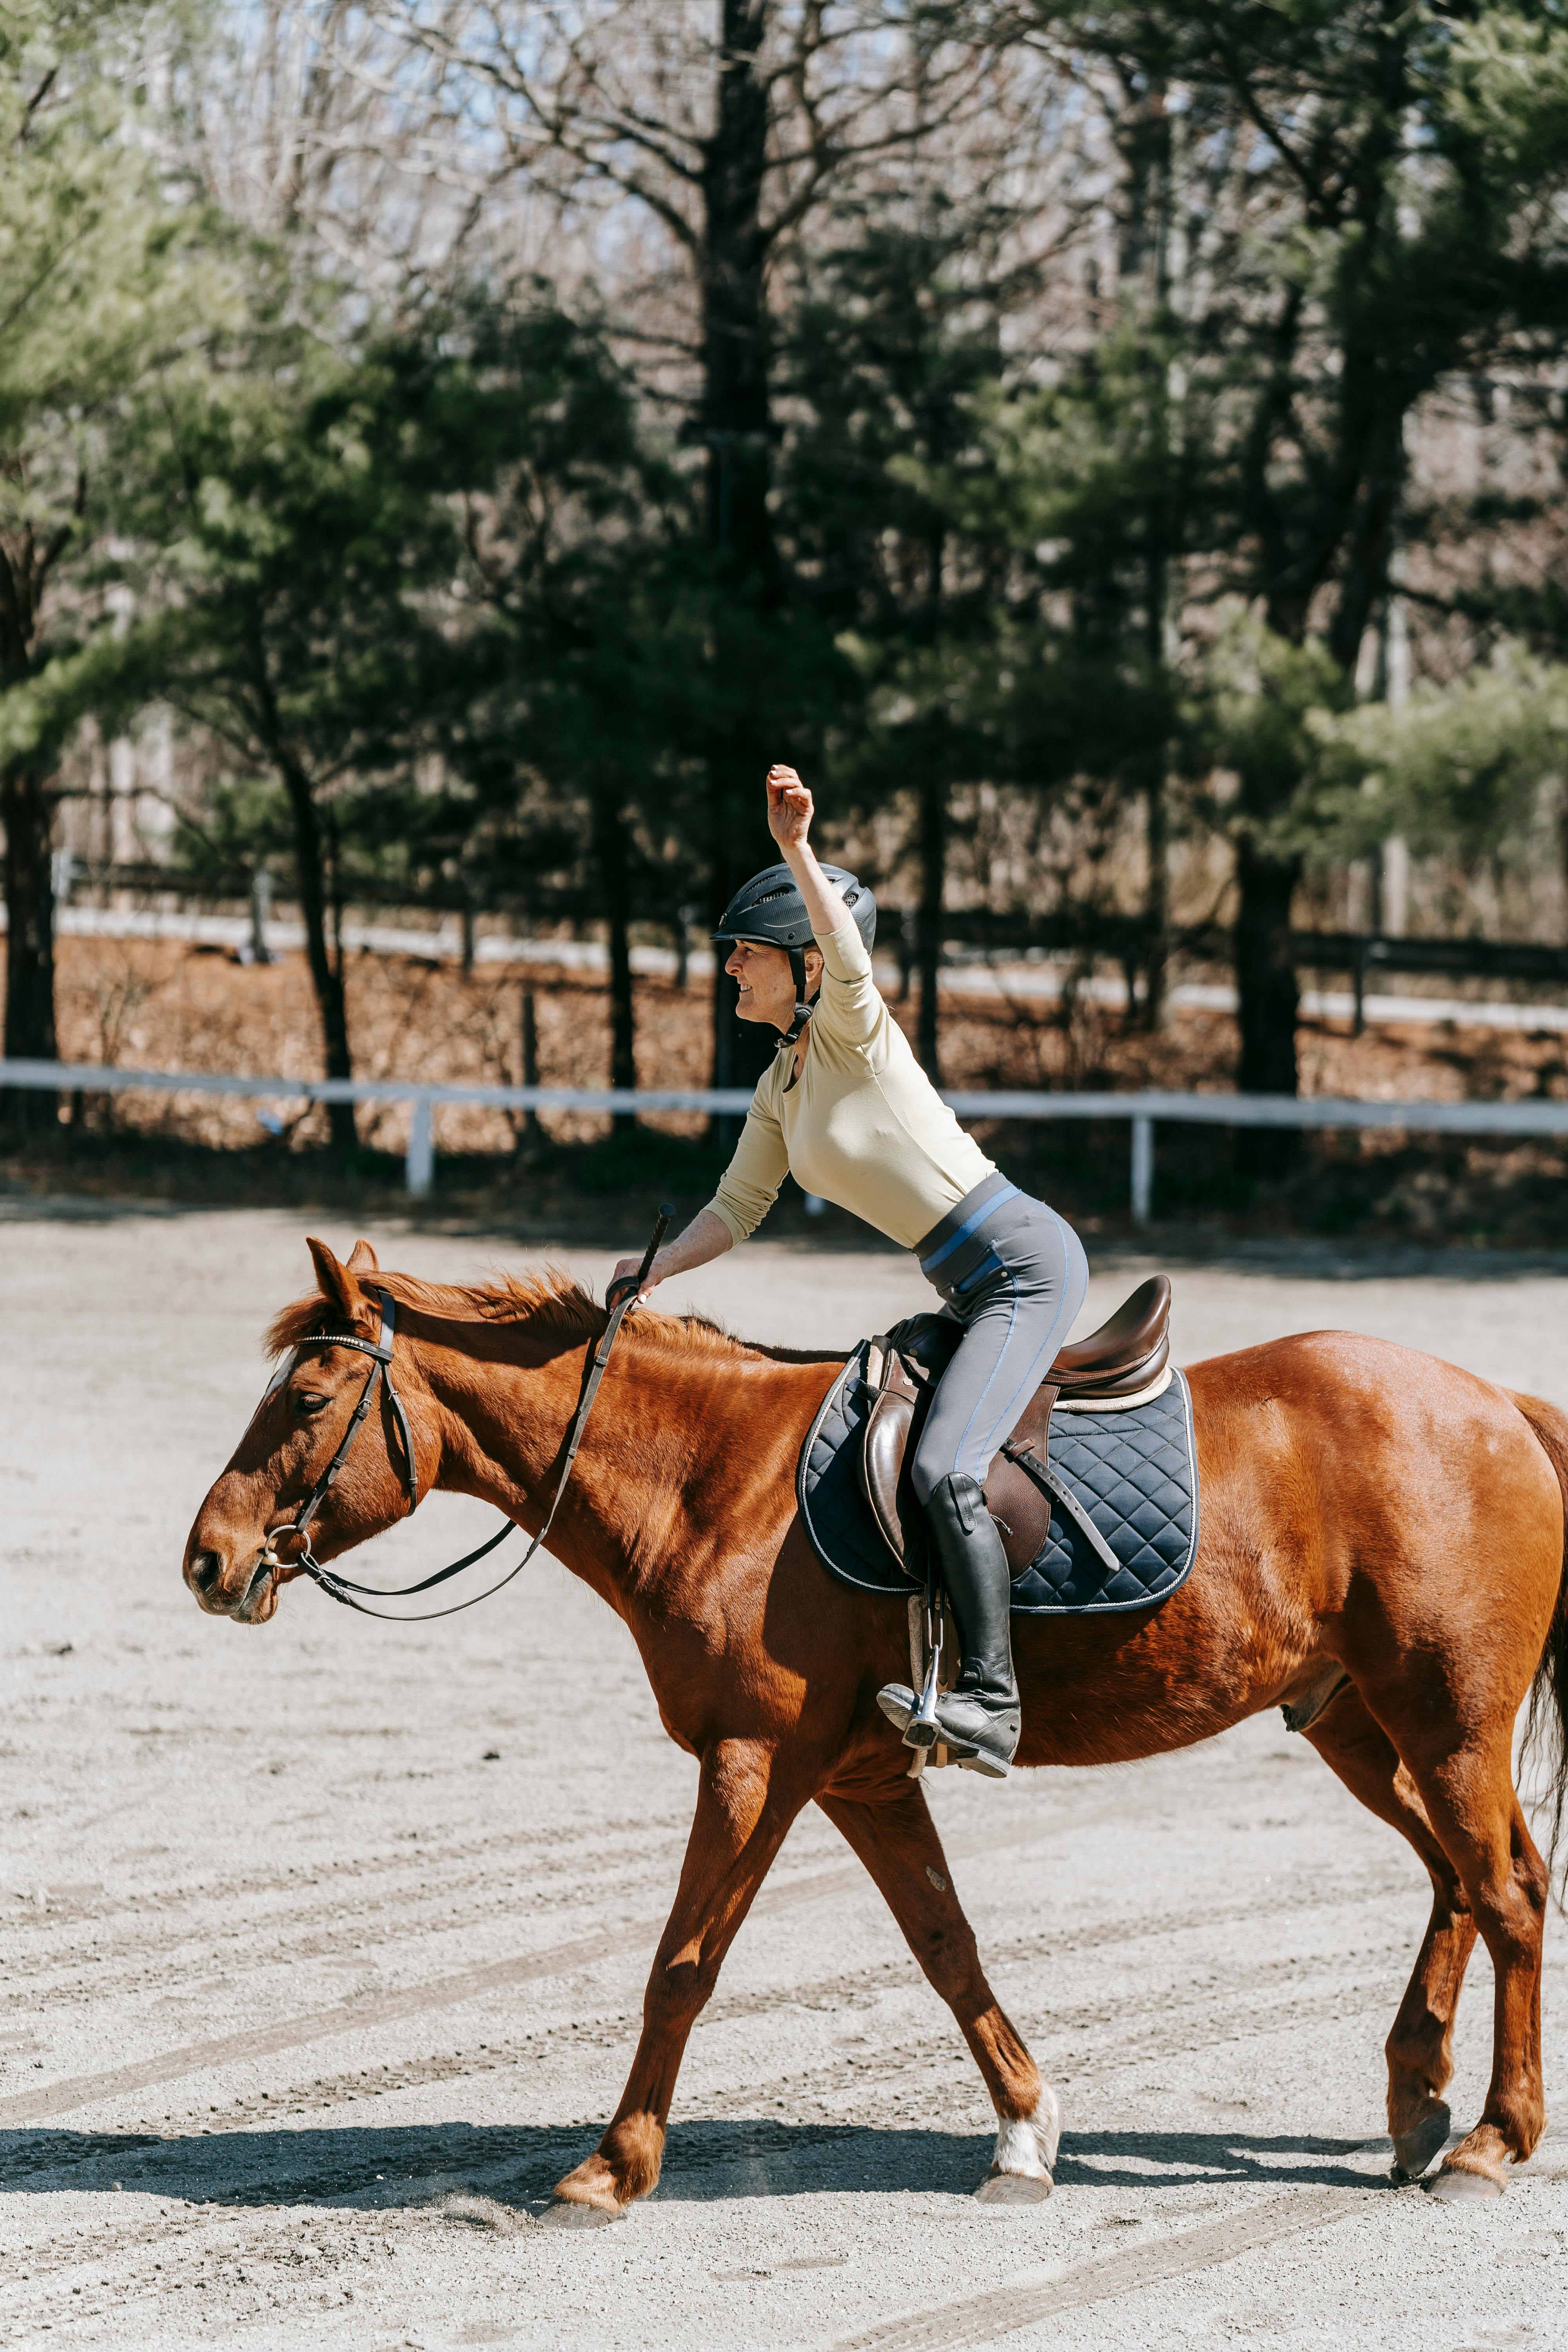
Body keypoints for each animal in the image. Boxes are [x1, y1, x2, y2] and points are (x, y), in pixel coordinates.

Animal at [182, 1234, 1568, 2222]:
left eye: (307, 1401)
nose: (208, 1560)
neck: (710, 1478)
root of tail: (1496, 1402)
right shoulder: (860, 1779)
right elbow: (946, 1946)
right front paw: (1024, 2137)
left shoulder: (755, 1763)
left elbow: (682, 1964)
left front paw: (612, 2165)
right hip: (1363, 1725)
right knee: (1461, 1876)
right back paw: (1414, 2097)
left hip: (1443, 1721)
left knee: (1505, 1889)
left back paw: (1492, 2139)